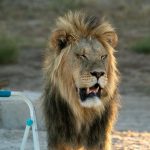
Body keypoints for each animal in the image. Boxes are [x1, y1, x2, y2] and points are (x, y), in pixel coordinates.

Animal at [42, 10, 120, 150]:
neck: (83, 112)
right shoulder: (59, 137)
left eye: (103, 56)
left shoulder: (99, 139)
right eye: (82, 56)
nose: (98, 73)